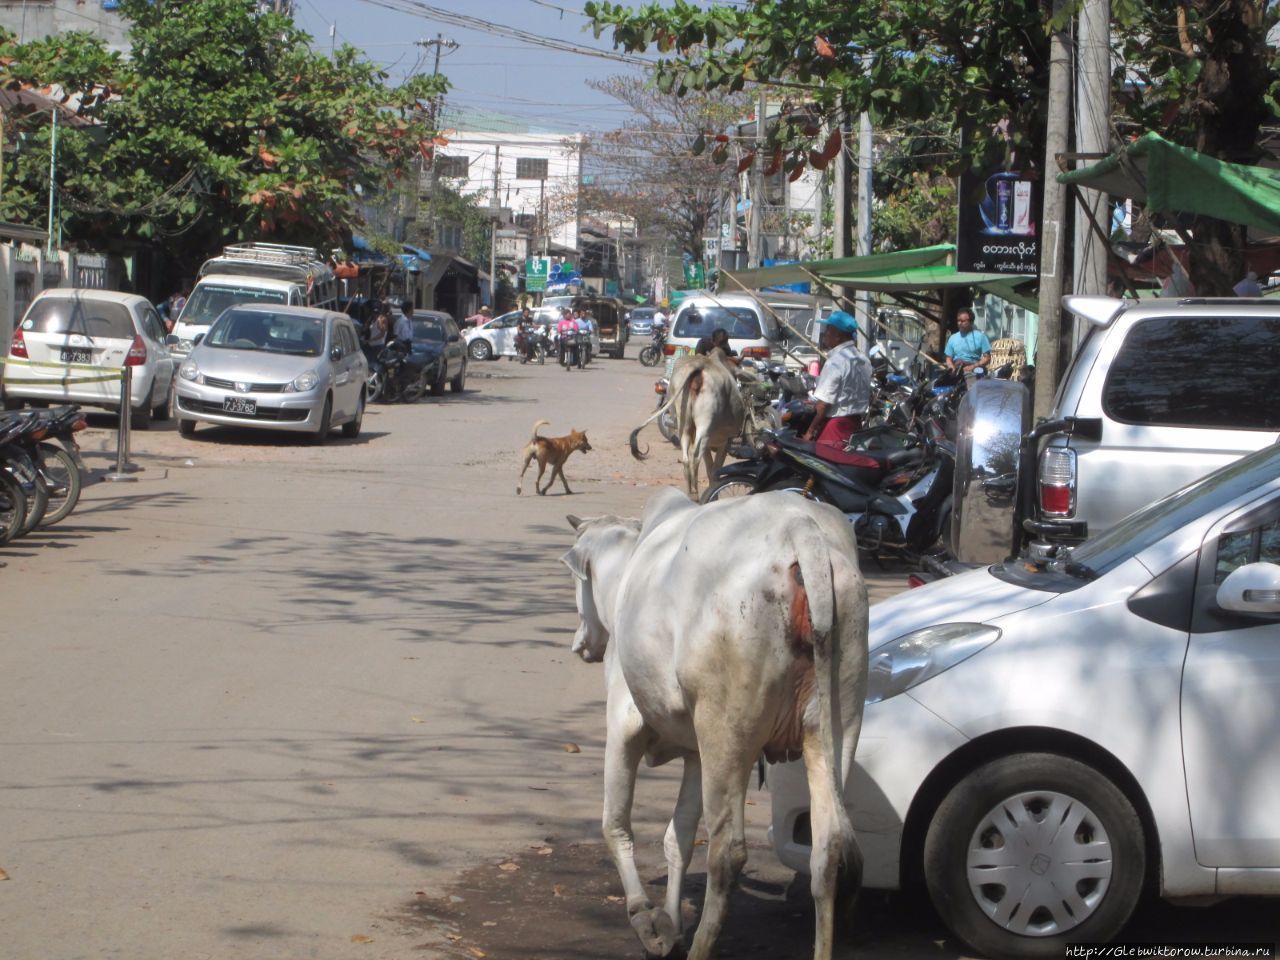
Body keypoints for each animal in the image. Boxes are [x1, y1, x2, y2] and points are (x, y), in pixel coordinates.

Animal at [563, 491, 870, 957]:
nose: (580, 644)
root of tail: (798, 527)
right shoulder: (695, 753)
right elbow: (678, 838)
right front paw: (670, 921)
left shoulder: (622, 727)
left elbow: (615, 825)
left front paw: (646, 919)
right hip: (838, 723)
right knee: (827, 850)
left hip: (727, 732)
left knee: (728, 852)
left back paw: (700, 946)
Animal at [632, 350, 747, 491]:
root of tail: (700, 366)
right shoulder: (726, 440)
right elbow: (715, 470)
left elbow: (710, 469)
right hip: (705, 426)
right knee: (695, 457)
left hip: (684, 425)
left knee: (686, 459)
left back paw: (691, 492)